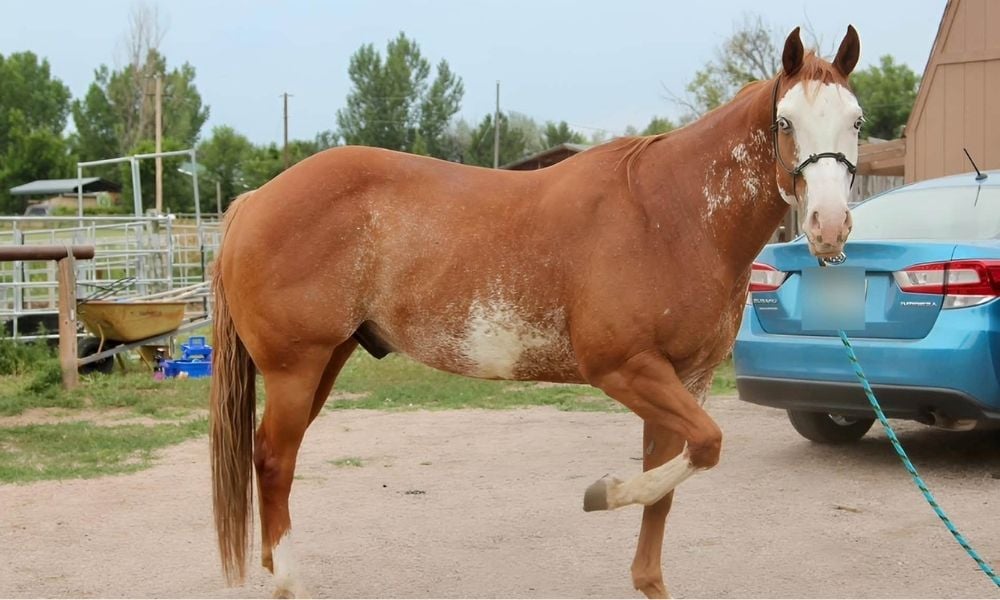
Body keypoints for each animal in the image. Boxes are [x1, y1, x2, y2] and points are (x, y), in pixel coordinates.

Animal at [210, 25, 863, 598]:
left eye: (855, 121)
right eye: (785, 122)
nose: (829, 226)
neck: (671, 216)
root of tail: (255, 200)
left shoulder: (685, 380)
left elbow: (672, 476)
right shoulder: (626, 369)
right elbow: (705, 446)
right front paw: (602, 492)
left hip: (325, 363)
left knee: (274, 460)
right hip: (296, 368)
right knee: (273, 459)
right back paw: (289, 581)